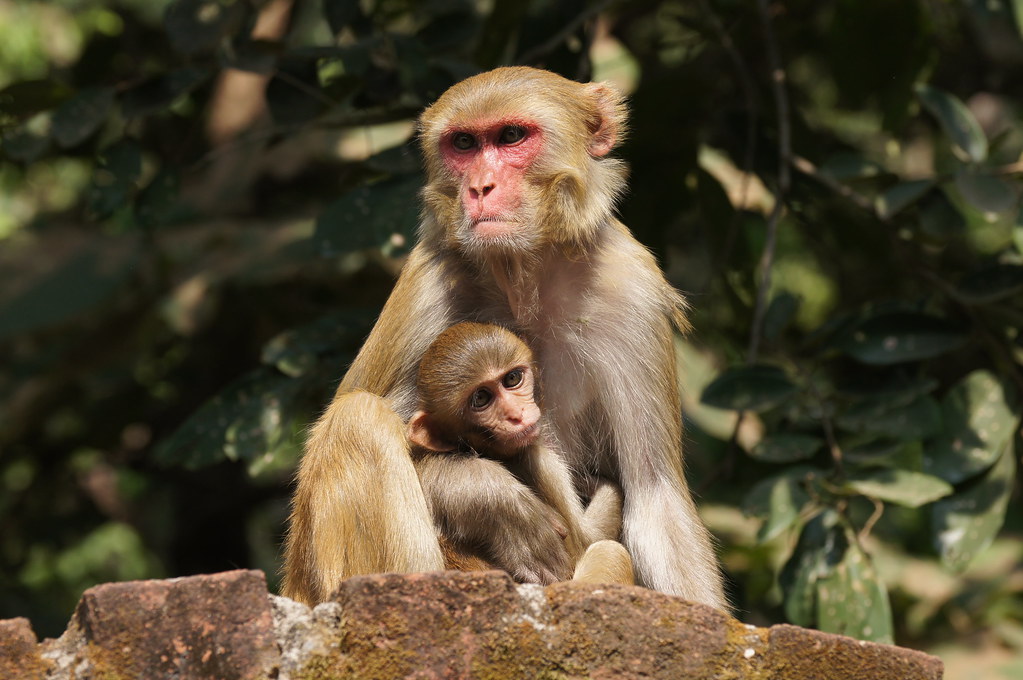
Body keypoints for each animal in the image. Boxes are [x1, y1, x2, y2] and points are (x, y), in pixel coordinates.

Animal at [407, 323, 630, 584]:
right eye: (481, 398)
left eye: (512, 379)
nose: (516, 414)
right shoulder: (541, 461)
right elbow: (588, 538)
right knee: (610, 550)